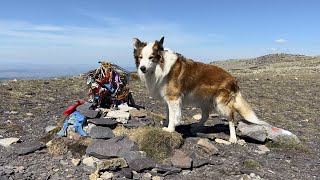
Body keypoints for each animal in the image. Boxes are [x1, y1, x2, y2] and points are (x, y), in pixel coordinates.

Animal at [132, 37, 268, 143]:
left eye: (151, 57)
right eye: (140, 57)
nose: (142, 68)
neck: (161, 66)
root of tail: (233, 79)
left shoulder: (173, 98)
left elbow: (173, 115)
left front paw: (170, 129)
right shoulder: (167, 99)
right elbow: (168, 113)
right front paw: (167, 124)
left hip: (220, 104)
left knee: (231, 117)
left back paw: (233, 138)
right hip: (203, 100)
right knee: (206, 116)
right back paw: (196, 127)